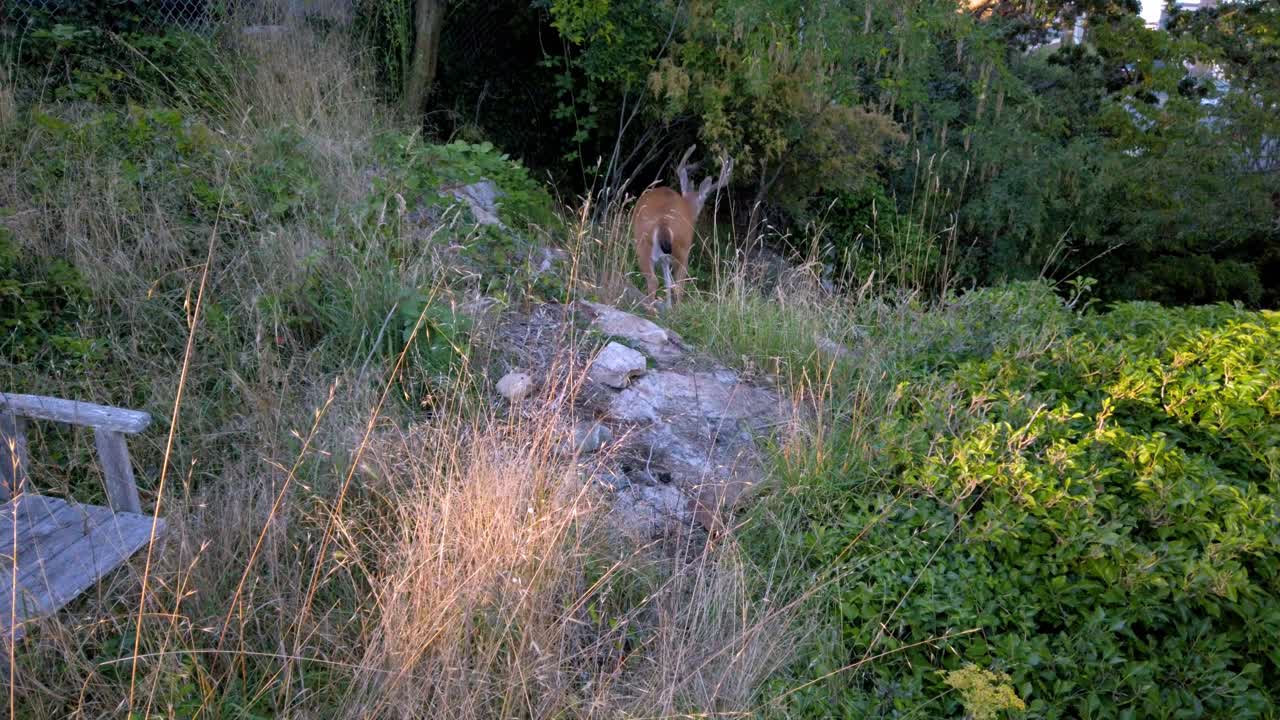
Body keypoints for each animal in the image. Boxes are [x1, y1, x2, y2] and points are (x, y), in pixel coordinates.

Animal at [631, 145, 733, 310]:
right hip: (683, 249)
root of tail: (663, 221)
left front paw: (667, 307)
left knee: (654, 280)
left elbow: (667, 281)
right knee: (676, 285)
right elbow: (673, 284)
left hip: (641, 243)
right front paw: (670, 308)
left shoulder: (664, 258)